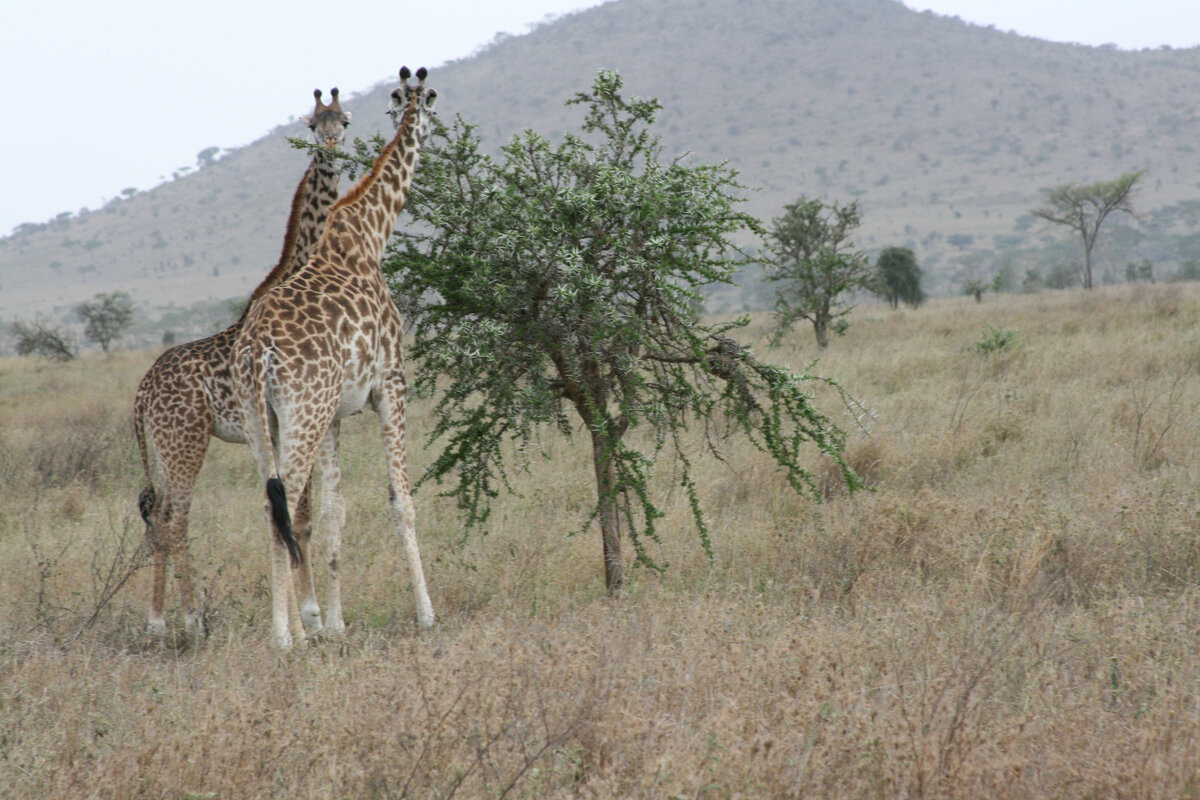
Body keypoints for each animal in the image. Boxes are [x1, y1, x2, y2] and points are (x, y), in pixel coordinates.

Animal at [136, 86, 352, 638]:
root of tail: (141, 394)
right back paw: (191, 620)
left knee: (159, 515)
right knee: (175, 519)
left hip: (163, 449)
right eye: (313, 124)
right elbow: (299, 514)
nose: (333, 147)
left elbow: (298, 514)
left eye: (344, 119)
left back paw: (158, 621)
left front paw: (306, 615)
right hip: (186, 443)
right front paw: (310, 617)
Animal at [235, 65, 441, 647]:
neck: (371, 231)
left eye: (346, 120)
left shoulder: (335, 415)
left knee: (270, 501)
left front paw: (335, 622)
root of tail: (255, 350)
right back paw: (285, 638)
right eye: (431, 98)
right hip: (300, 413)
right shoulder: (391, 384)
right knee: (284, 498)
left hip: (264, 419)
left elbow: (334, 511)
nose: (430, 128)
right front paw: (426, 613)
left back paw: (294, 632)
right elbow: (402, 499)